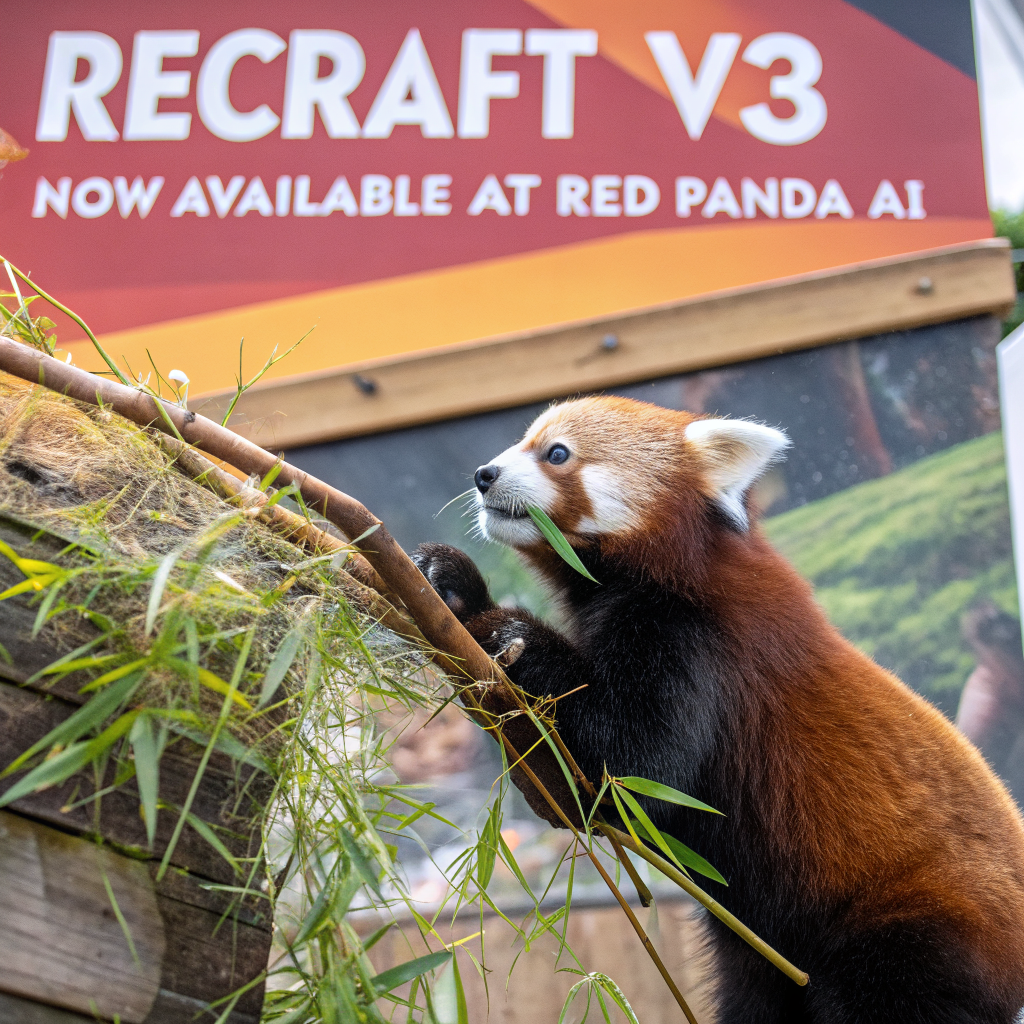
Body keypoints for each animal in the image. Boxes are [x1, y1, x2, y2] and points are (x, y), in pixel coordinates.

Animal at [413, 395, 1024, 1024]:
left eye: (556, 454)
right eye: (522, 442)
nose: (484, 475)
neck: (669, 567)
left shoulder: (696, 643)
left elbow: (629, 764)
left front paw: (500, 626)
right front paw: (447, 584)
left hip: (913, 930)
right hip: (759, 957)